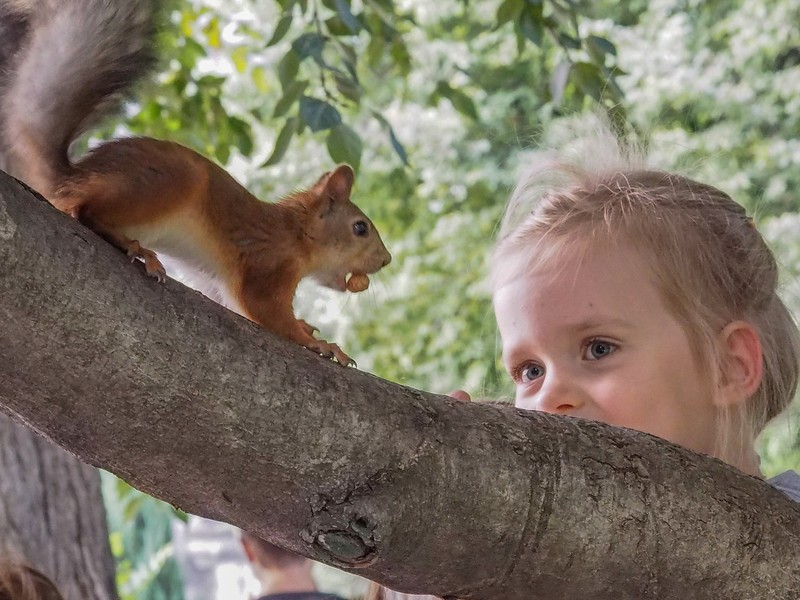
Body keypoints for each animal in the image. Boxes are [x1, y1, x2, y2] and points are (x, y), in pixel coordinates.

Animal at [0, 0, 390, 366]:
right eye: (360, 228)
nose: (386, 260)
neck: (296, 233)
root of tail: (73, 177)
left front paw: (309, 329)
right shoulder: (268, 264)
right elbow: (264, 310)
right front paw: (319, 344)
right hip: (166, 184)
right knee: (87, 211)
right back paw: (136, 247)